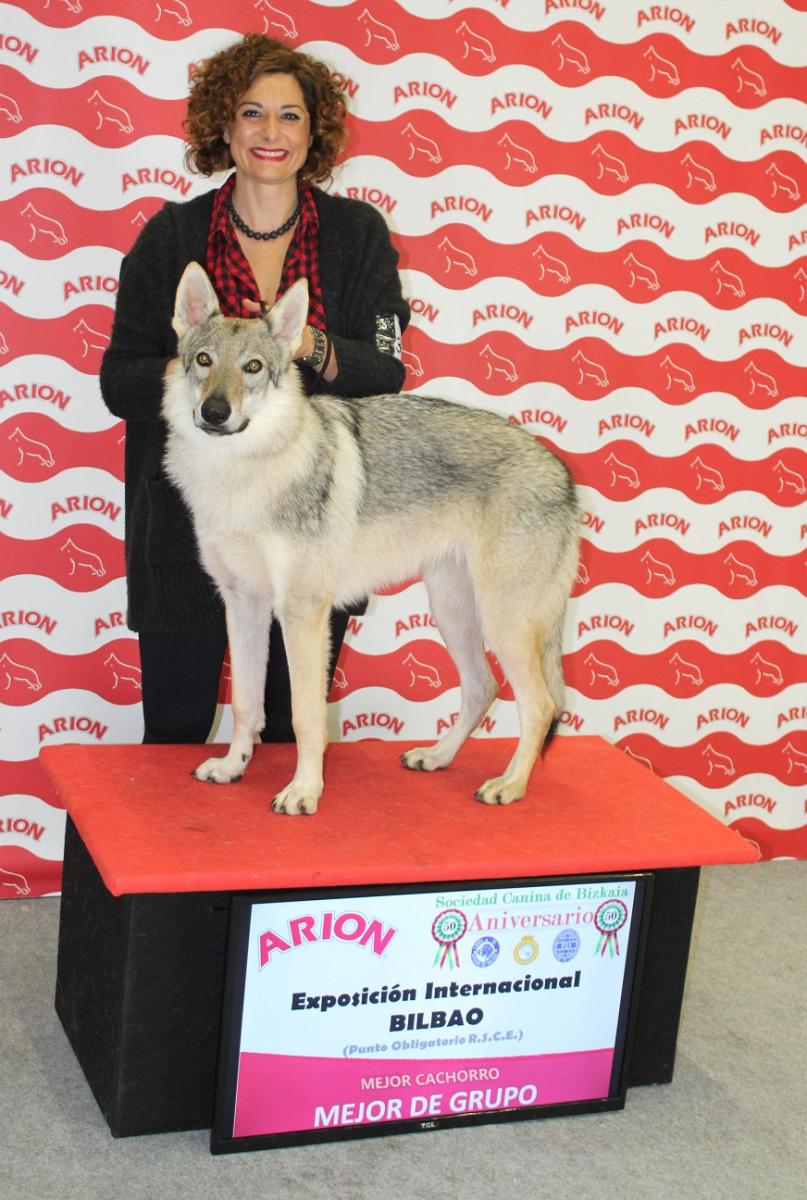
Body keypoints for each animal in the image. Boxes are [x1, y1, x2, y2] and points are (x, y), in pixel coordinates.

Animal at [162, 262, 581, 816]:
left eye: (252, 367)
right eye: (204, 361)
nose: (214, 412)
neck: (241, 472)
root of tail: (563, 472)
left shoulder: (302, 613)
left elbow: (304, 717)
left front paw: (303, 792)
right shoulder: (244, 603)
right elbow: (246, 704)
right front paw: (233, 767)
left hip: (503, 621)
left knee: (540, 705)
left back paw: (508, 786)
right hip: (454, 611)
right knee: (482, 688)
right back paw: (436, 757)